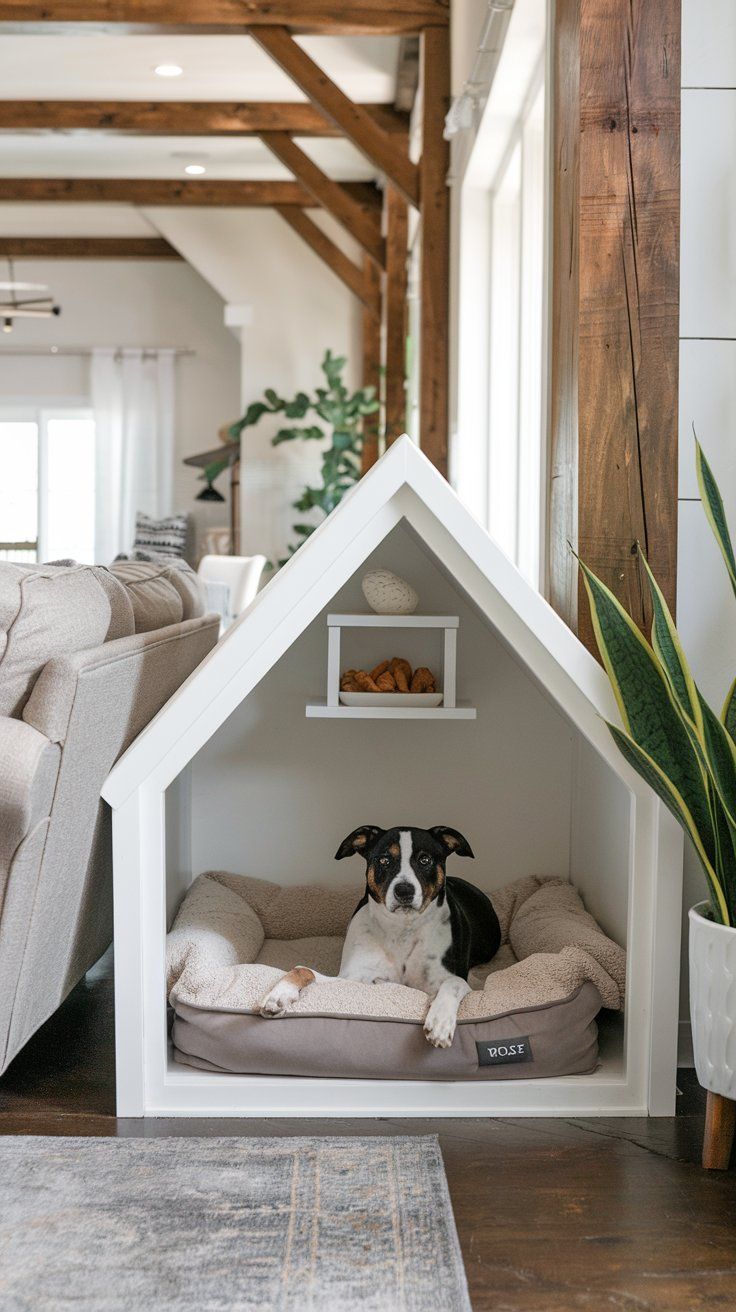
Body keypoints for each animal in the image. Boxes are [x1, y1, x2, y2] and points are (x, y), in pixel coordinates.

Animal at [258, 823, 498, 1049]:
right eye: (384, 860)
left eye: (425, 859)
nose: (404, 891)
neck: (401, 928)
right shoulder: (351, 978)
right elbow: (302, 969)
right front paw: (279, 995)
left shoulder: (446, 980)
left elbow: (453, 983)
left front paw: (440, 1022)